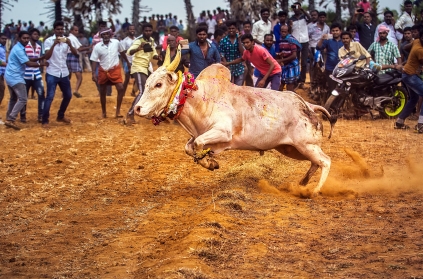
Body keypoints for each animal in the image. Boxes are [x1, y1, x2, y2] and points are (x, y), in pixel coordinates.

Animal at [136, 47, 338, 195]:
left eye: (158, 84)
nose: (138, 108)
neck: (198, 97)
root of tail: (309, 106)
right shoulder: (198, 134)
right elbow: (189, 148)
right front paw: (210, 162)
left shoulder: (222, 132)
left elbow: (199, 143)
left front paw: (210, 162)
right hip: (292, 149)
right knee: (315, 163)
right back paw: (302, 183)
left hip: (306, 145)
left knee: (326, 161)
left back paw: (314, 191)